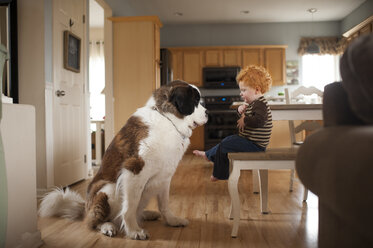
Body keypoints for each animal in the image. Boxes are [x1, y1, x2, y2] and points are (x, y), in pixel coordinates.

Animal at [39, 81, 208, 240]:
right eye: (196, 100)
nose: (207, 113)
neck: (167, 119)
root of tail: (86, 208)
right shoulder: (135, 170)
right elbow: (130, 206)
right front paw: (134, 231)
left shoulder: (165, 176)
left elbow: (164, 203)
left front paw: (172, 220)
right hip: (108, 188)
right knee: (94, 222)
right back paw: (108, 227)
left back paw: (147, 214)